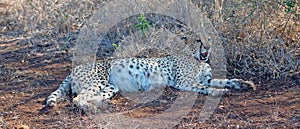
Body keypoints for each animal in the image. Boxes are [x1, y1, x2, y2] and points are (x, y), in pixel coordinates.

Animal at [45, 40, 255, 112]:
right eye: (198, 40)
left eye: (208, 39)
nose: (208, 47)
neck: (196, 57)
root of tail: (74, 69)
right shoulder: (185, 82)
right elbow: (206, 87)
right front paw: (220, 91)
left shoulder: (205, 77)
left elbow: (222, 80)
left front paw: (243, 83)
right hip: (100, 78)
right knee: (78, 98)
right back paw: (95, 108)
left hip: (111, 86)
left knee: (92, 96)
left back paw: (106, 105)